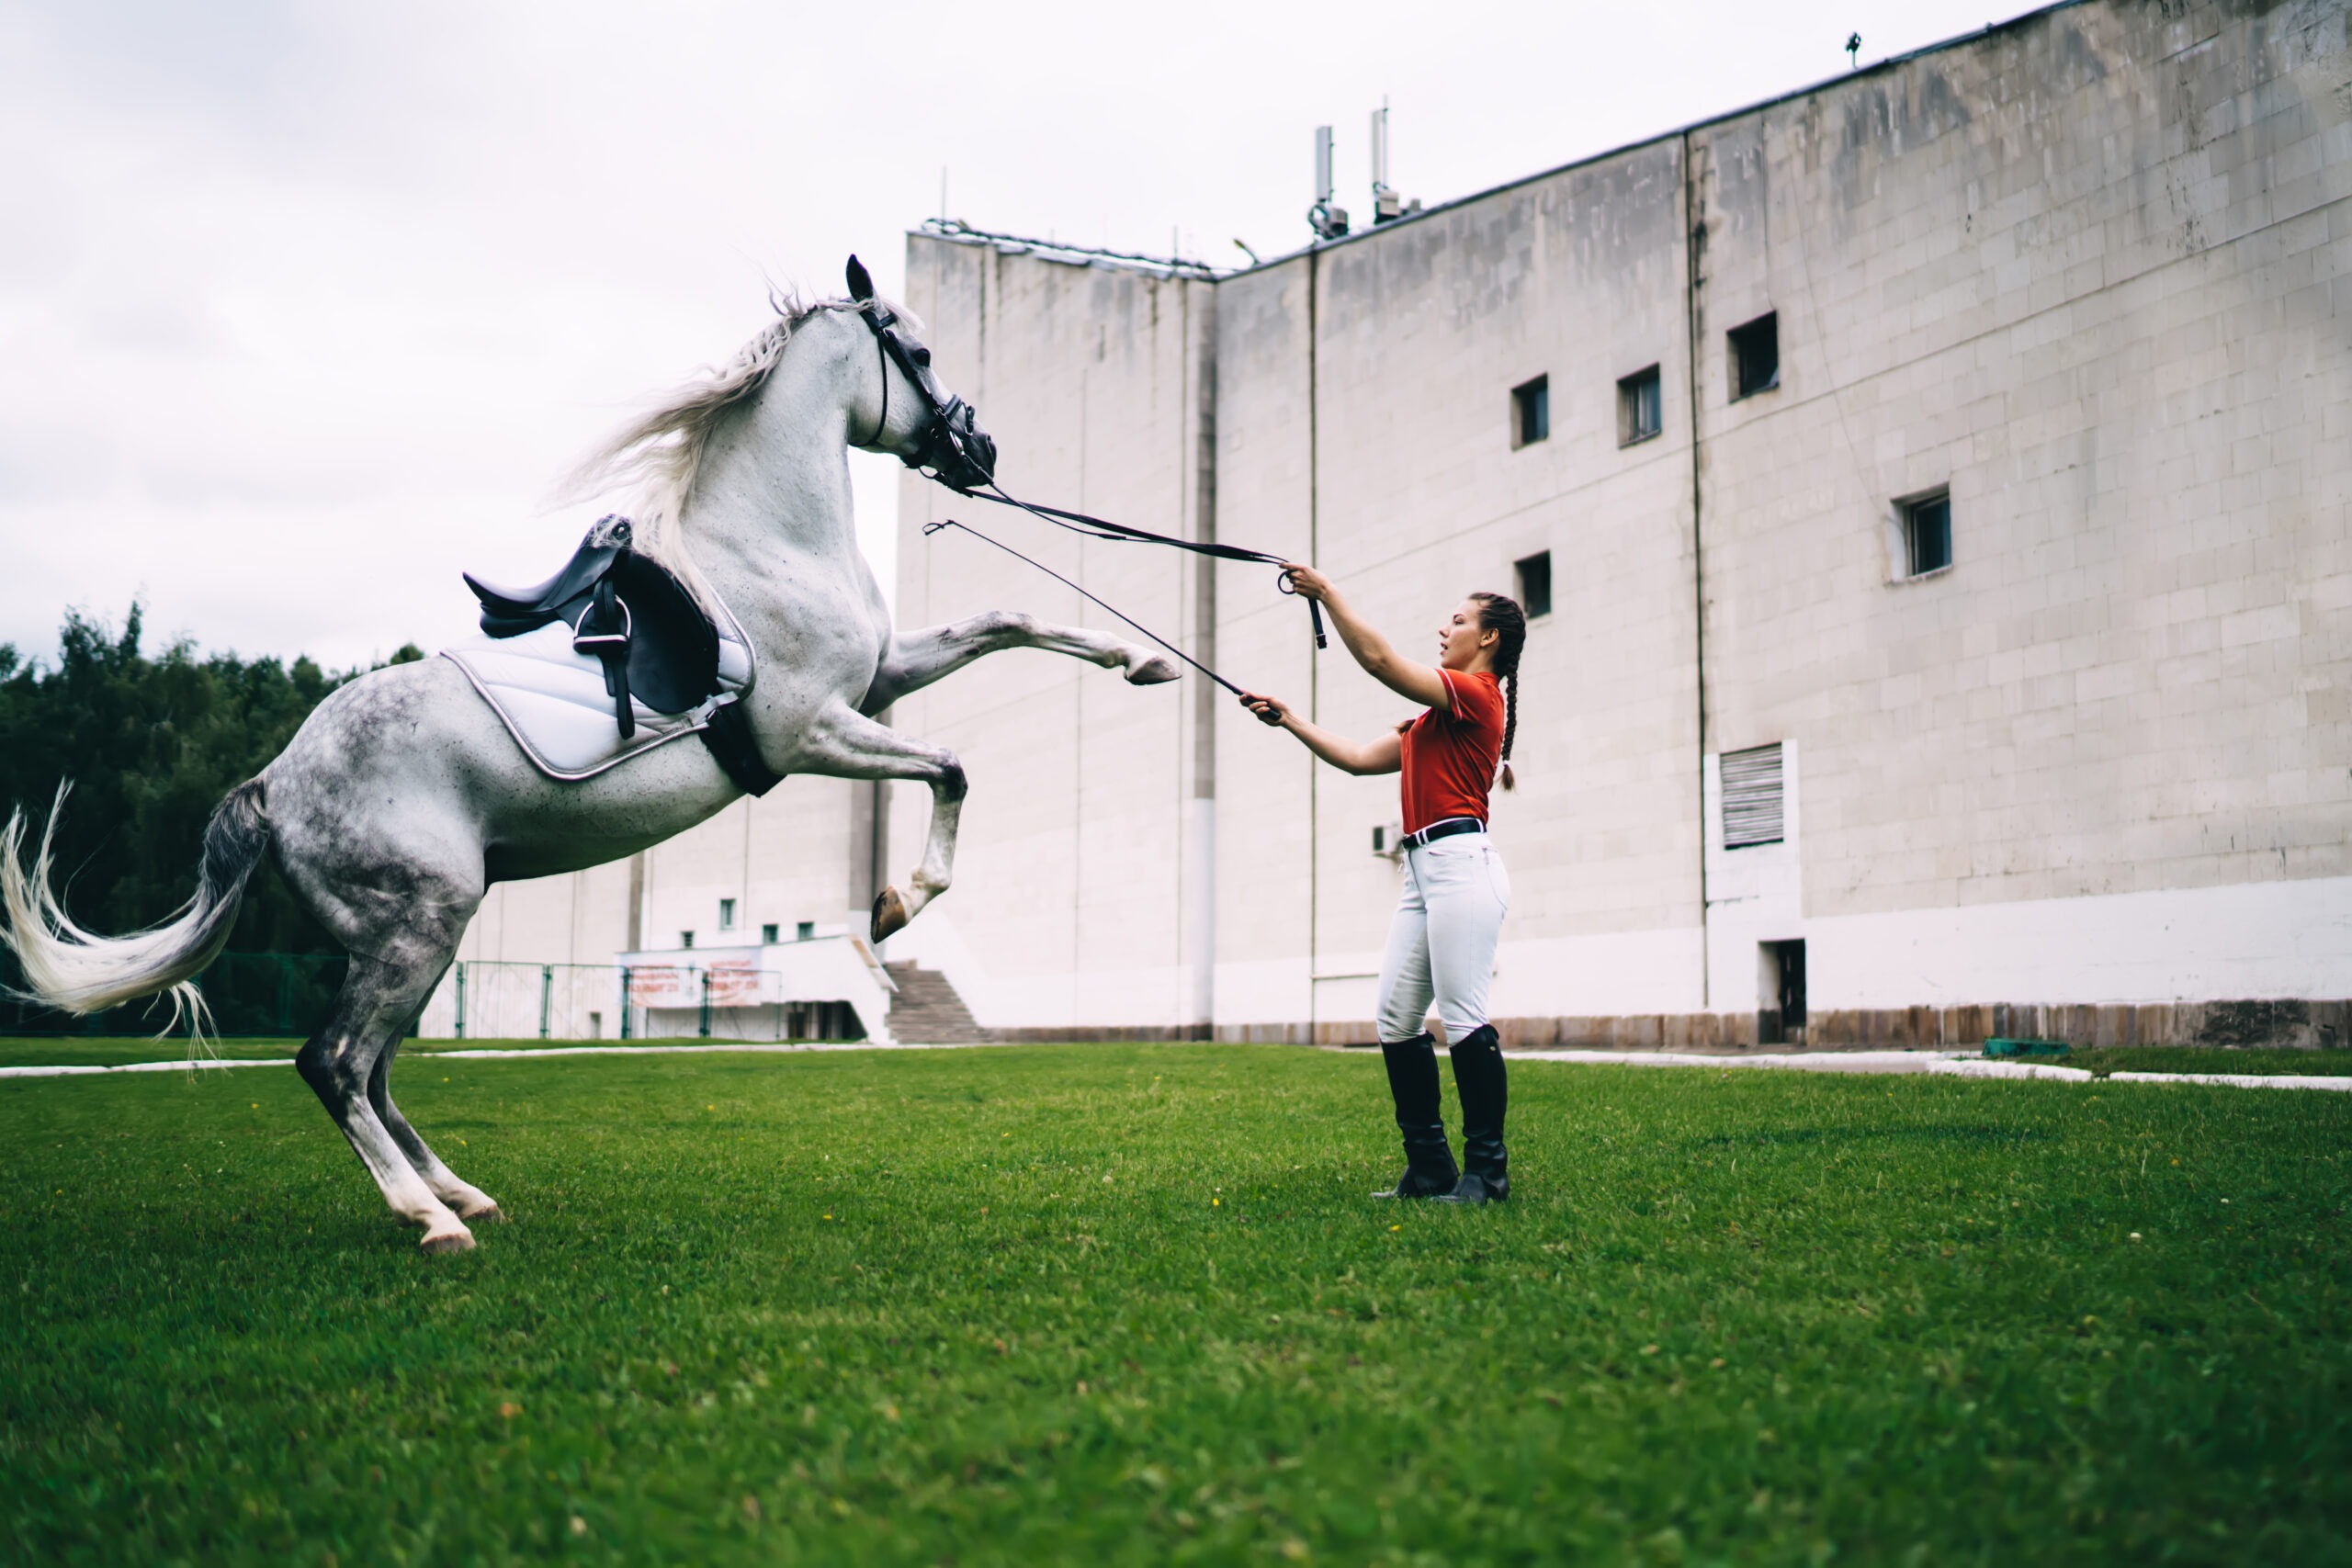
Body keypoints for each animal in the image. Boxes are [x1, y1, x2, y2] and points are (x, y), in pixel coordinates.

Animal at [0, 258, 1179, 1253]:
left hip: (419, 937)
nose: (980, 455)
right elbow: (951, 768)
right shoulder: (817, 732)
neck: (767, 551)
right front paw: (899, 903)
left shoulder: (880, 678)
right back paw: (431, 1220)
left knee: (375, 1069)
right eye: (920, 352)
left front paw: (1140, 659)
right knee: (333, 1064)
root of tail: (273, 785)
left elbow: (1006, 620)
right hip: (418, 926)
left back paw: (462, 1193)